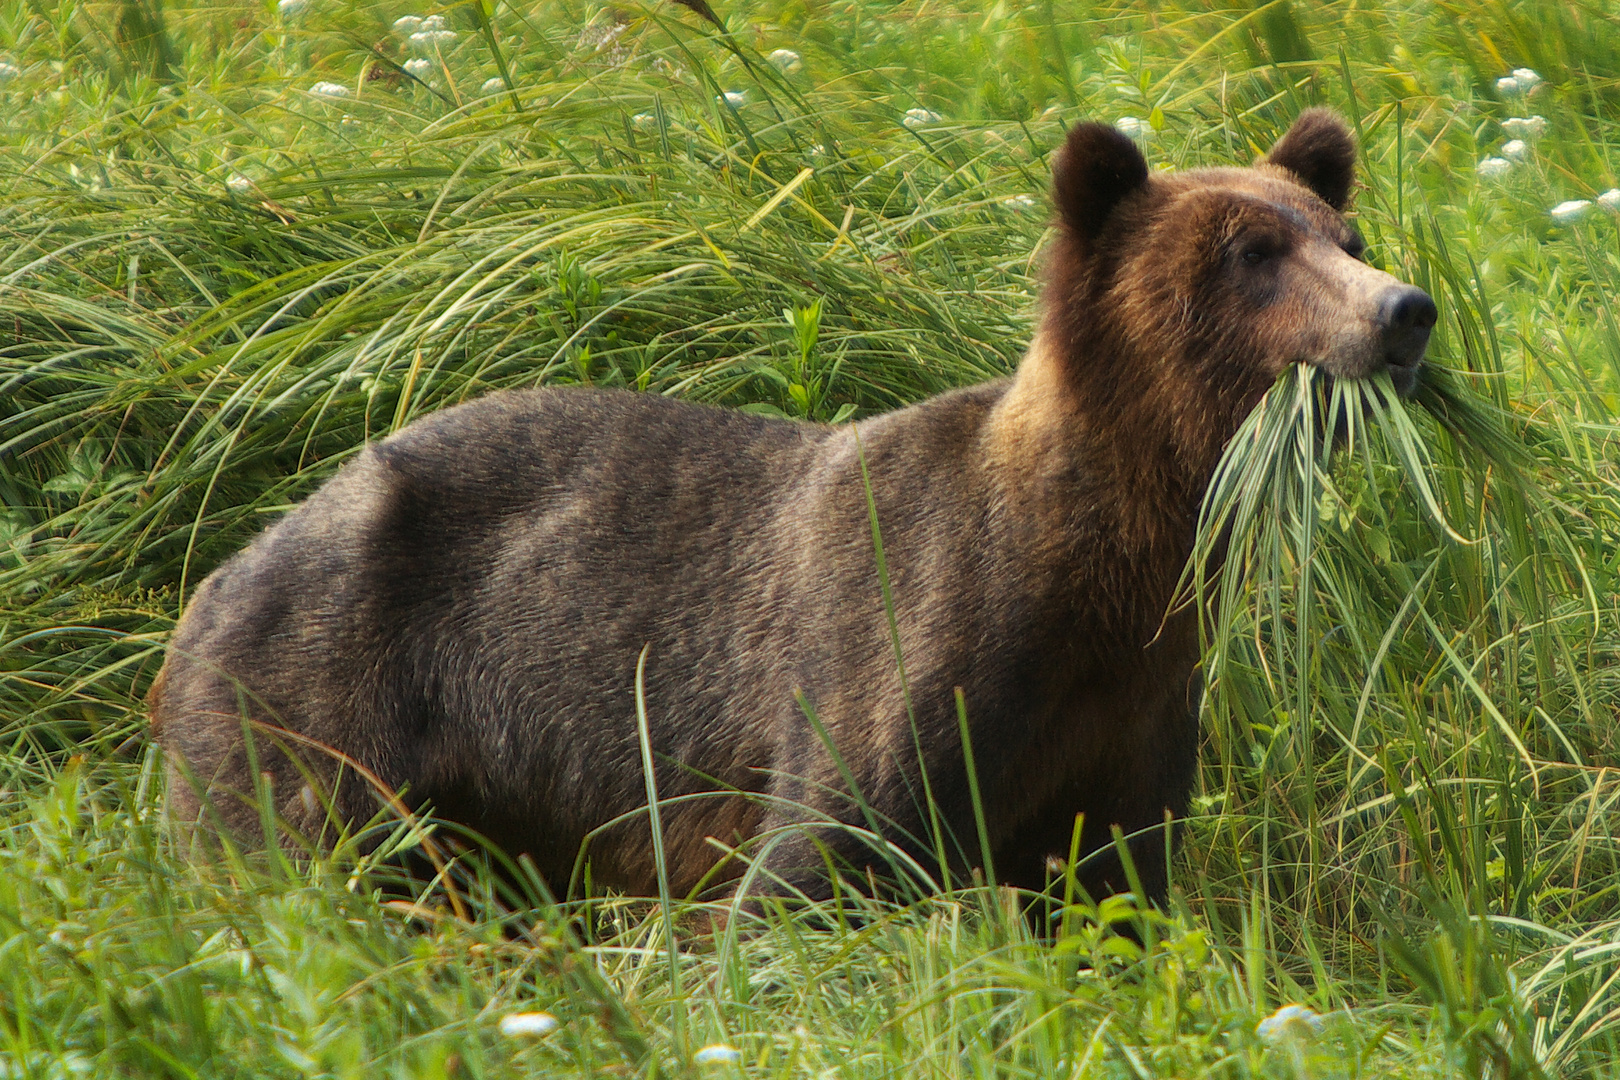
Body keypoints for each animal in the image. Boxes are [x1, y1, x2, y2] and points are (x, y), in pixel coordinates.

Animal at [152, 107, 1438, 906]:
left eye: (1346, 232)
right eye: (1251, 250)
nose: (1402, 309)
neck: (1104, 570)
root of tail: (218, 570)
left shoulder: (1131, 714)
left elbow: (1108, 885)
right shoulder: (910, 643)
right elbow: (812, 868)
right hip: (330, 693)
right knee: (295, 869)